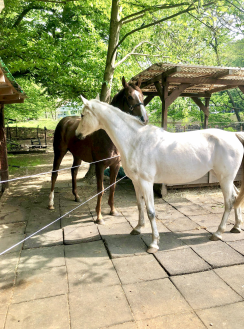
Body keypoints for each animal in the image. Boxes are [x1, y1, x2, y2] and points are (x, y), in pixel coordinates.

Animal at [48, 75, 148, 222]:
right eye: (130, 97)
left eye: (142, 95)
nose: (144, 119)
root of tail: (64, 120)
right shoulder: (100, 166)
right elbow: (100, 190)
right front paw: (99, 216)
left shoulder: (115, 165)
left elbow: (112, 187)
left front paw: (112, 210)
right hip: (59, 152)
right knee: (54, 173)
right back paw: (51, 202)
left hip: (77, 155)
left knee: (74, 171)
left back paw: (76, 196)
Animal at [75, 96, 244, 252]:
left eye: (82, 115)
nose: (77, 135)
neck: (135, 141)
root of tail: (234, 135)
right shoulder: (136, 182)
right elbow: (140, 205)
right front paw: (137, 228)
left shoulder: (146, 182)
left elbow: (151, 211)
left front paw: (154, 243)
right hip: (224, 178)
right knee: (236, 197)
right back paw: (236, 227)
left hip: (225, 179)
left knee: (229, 201)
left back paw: (218, 233)